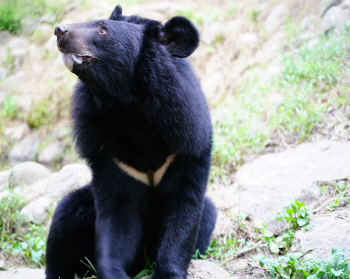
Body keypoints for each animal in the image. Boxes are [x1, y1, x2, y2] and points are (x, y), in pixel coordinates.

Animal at [46, 4, 216, 279]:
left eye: (102, 29)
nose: (60, 31)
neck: (127, 109)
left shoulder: (187, 141)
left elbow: (184, 210)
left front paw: (167, 273)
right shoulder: (107, 154)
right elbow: (117, 216)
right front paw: (113, 271)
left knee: (207, 213)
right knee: (64, 216)